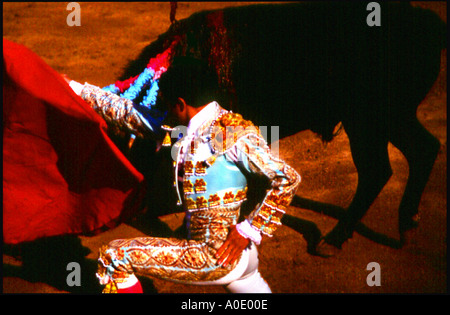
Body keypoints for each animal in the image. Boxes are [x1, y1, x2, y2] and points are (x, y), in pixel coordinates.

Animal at [114, 1, 444, 251]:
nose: (123, 214)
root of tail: (428, 22)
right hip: (393, 120)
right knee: (423, 150)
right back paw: (405, 225)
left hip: (369, 122)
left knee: (377, 170)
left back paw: (334, 239)